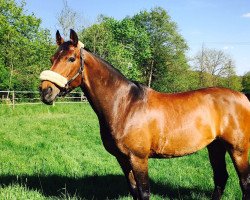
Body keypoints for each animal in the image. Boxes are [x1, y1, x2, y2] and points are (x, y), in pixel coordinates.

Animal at [39, 29, 250, 200]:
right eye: (52, 58)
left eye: (71, 59)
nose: (45, 91)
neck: (124, 105)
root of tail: (243, 98)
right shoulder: (123, 159)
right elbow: (134, 191)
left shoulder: (138, 158)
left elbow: (144, 192)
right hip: (216, 146)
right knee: (221, 178)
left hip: (238, 149)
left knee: (244, 183)